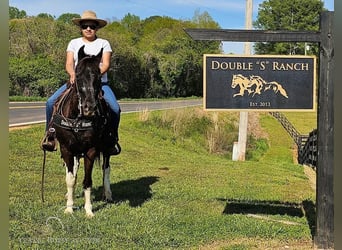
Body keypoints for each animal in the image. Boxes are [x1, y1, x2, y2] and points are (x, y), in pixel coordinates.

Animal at [51, 46, 115, 218]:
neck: (77, 119)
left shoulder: (91, 150)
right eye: (78, 75)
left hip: (107, 148)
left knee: (106, 168)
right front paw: (69, 207)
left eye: (99, 76)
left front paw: (88, 210)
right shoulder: (66, 149)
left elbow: (87, 181)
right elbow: (70, 179)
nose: (89, 108)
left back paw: (108, 194)